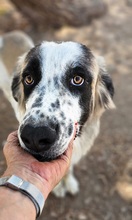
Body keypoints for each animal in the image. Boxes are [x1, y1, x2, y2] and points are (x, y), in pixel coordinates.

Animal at [0, 30, 114, 196]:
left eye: (77, 79)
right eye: (28, 79)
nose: (35, 135)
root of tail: (8, 34)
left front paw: (69, 181)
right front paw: (59, 187)